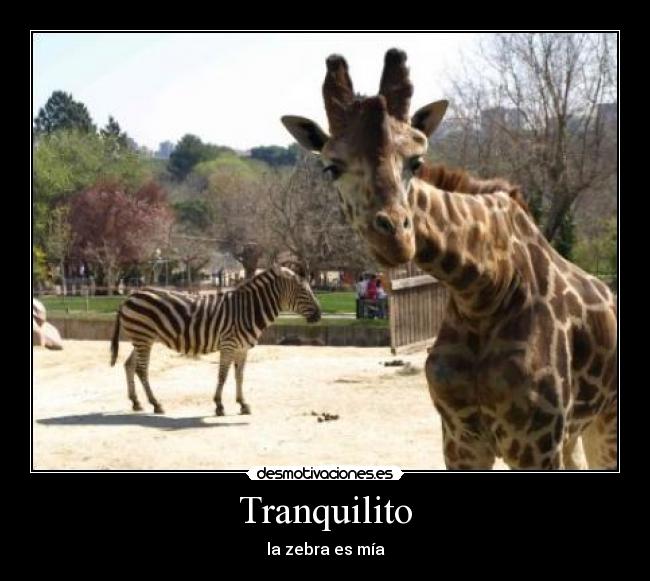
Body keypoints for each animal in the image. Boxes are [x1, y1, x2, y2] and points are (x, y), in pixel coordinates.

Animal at [110, 265, 321, 415]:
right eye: (303, 291)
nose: (319, 315)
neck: (248, 310)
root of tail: (130, 296)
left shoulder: (242, 348)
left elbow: (239, 376)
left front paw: (243, 404)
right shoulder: (228, 345)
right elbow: (223, 376)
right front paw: (219, 405)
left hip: (142, 338)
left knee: (129, 365)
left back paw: (136, 402)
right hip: (143, 337)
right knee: (141, 369)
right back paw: (156, 404)